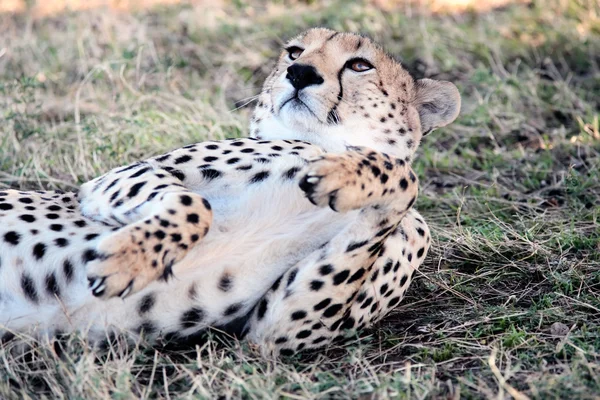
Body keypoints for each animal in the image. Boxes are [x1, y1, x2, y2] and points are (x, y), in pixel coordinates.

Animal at [0, 29, 460, 358]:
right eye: (294, 52)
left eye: (360, 64)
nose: (301, 74)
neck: (324, 142)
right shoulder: (117, 177)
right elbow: (193, 204)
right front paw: (129, 260)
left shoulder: (278, 331)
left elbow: (404, 177)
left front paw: (342, 176)